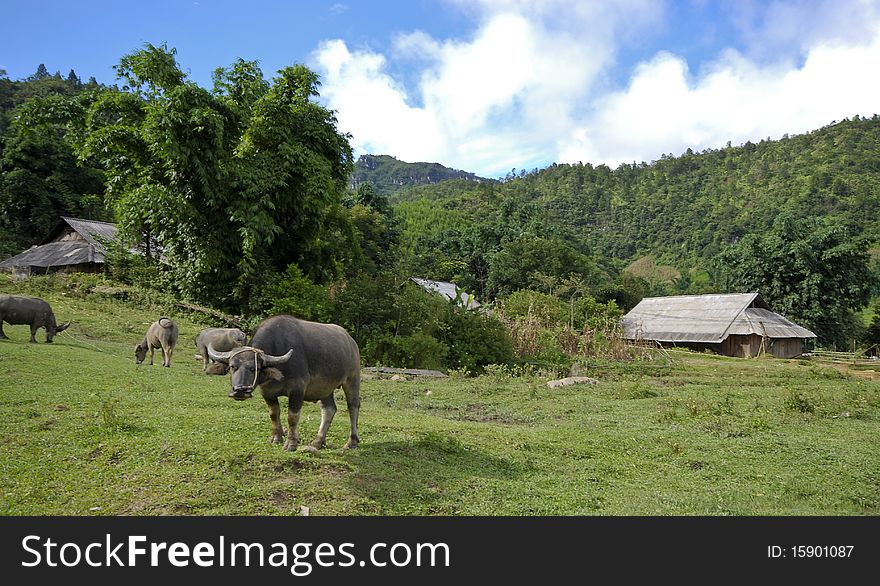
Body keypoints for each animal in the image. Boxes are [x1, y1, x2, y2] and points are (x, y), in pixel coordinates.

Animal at [208, 312, 362, 450]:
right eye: (232, 366)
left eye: (254, 368)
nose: (240, 391)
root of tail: (351, 342)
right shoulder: (267, 391)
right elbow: (273, 413)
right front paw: (277, 438)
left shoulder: (298, 389)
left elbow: (292, 417)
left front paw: (291, 444)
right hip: (324, 387)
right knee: (329, 409)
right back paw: (318, 441)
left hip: (352, 379)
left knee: (353, 407)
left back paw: (352, 442)